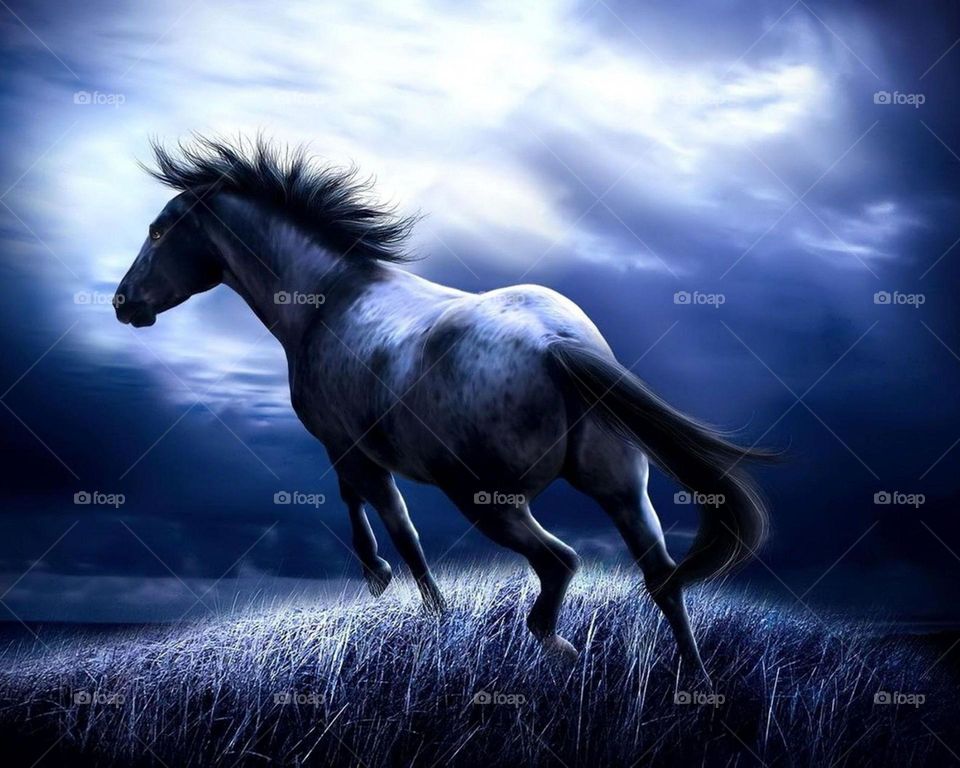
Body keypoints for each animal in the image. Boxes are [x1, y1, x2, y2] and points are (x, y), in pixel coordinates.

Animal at [114, 136, 771, 681]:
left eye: (157, 232)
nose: (123, 303)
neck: (329, 296)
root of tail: (556, 344)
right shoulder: (358, 451)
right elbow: (384, 514)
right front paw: (420, 603)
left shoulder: (348, 448)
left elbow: (389, 520)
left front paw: (397, 587)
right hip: (623, 489)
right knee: (662, 578)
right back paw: (695, 680)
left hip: (486, 499)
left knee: (561, 562)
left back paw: (558, 646)